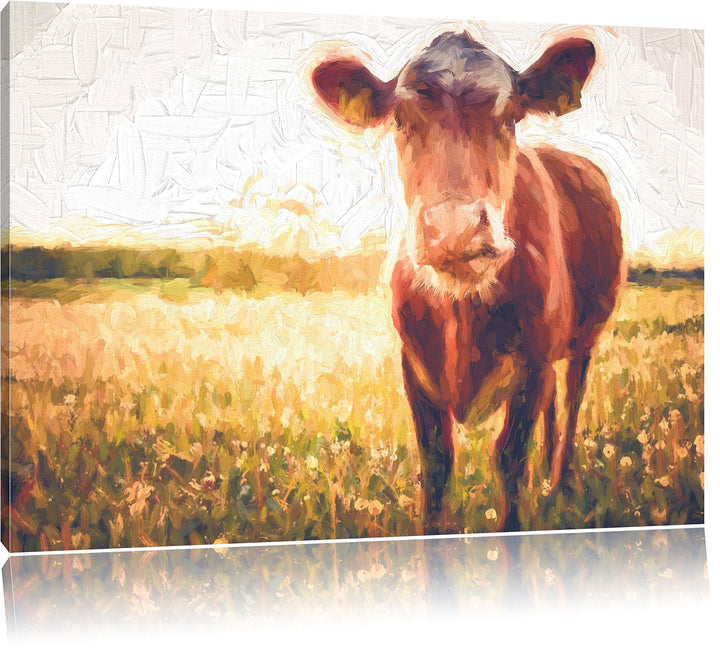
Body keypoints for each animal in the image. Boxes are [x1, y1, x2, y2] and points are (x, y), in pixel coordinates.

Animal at [310, 30, 624, 532]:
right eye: (401, 119)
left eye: (510, 116)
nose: (454, 229)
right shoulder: (414, 367)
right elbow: (437, 465)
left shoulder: (533, 364)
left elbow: (510, 460)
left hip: (586, 335)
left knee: (572, 399)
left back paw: (560, 483)